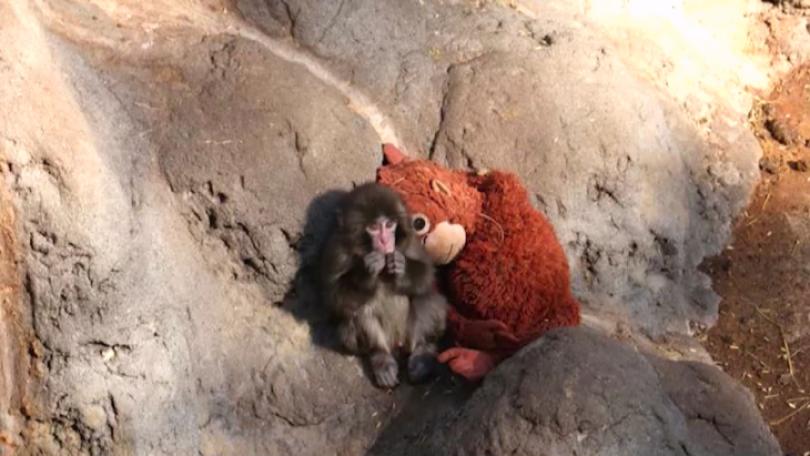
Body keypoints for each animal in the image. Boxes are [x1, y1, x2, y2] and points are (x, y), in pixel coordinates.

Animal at [318, 182, 447, 388]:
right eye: (373, 227)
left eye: (389, 225)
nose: (386, 240)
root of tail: (398, 343)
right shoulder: (336, 251)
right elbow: (333, 299)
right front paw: (366, 271)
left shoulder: (410, 239)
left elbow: (428, 274)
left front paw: (402, 267)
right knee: (358, 309)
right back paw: (381, 357)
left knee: (426, 297)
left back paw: (422, 354)